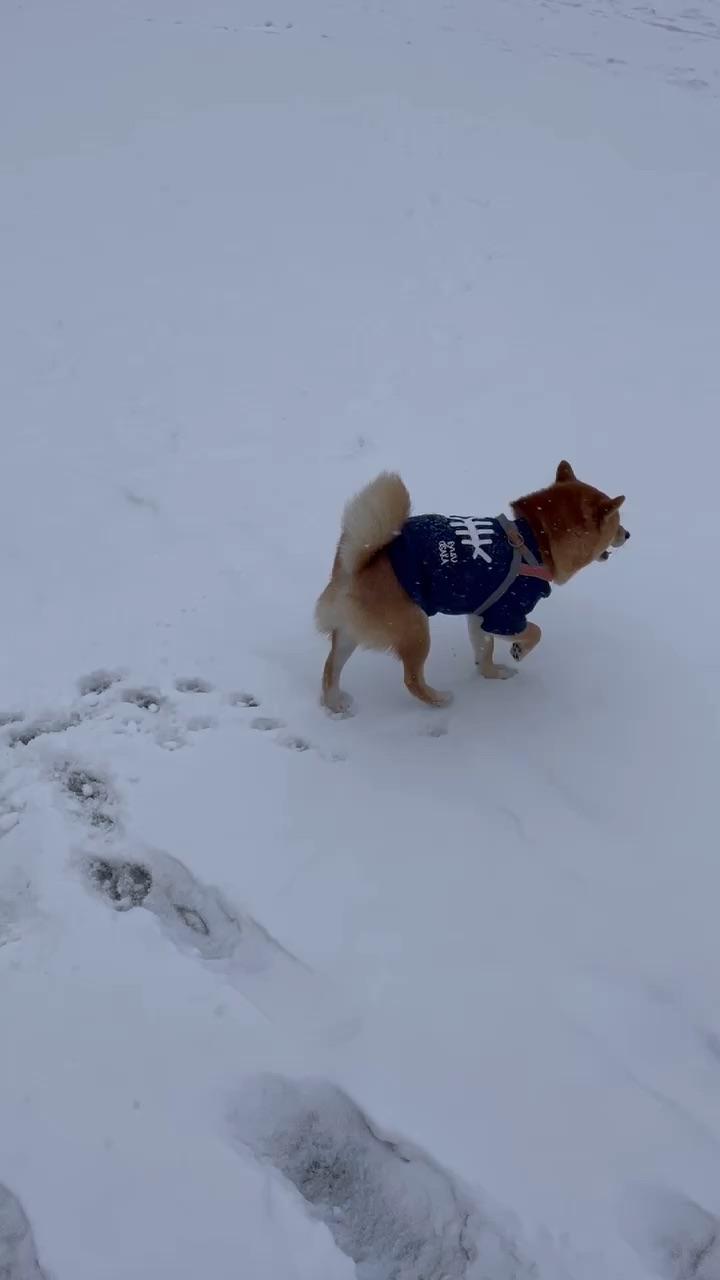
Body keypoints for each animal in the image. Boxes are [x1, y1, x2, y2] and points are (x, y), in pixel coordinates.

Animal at [315, 460, 627, 716]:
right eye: (618, 524)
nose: (628, 534)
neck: (536, 541)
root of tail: (356, 562)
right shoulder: (506, 615)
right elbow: (535, 632)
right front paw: (519, 650)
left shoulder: (480, 614)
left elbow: (483, 650)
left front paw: (491, 674)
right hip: (415, 629)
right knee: (411, 679)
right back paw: (439, 700)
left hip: (349, 634)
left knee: (330, 668)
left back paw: (335, 703)